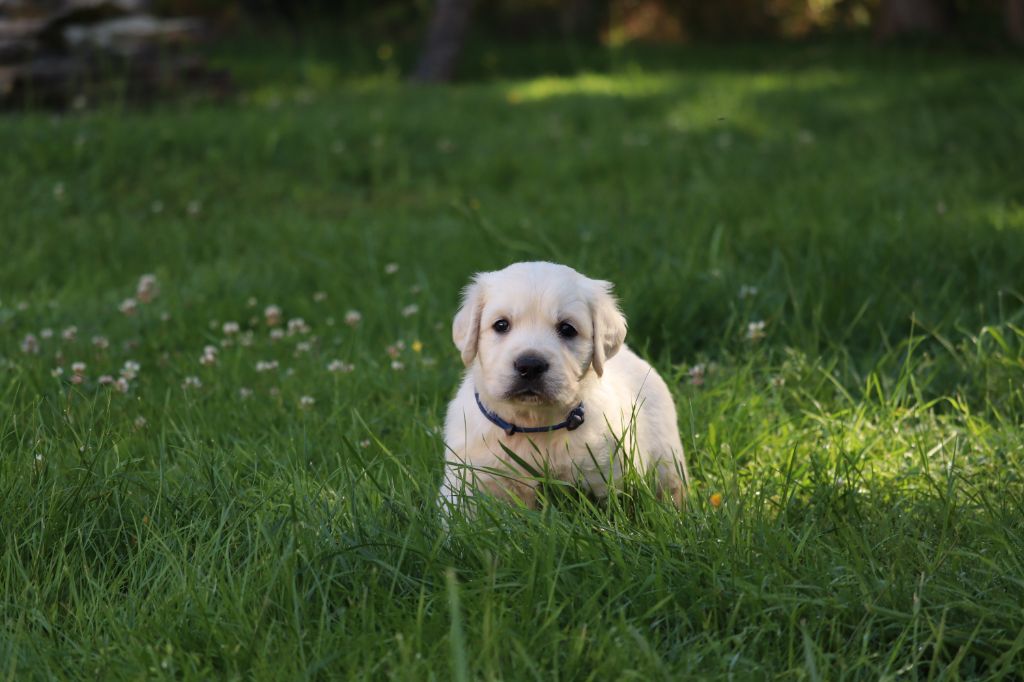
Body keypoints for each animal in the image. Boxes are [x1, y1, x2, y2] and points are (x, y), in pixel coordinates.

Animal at [440, 260, 688, 509]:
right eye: (501, 325)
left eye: (567, 329)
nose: (530, 365)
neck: (533, 424)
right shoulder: (465, 479)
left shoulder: (606, 476)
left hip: (667, 456)